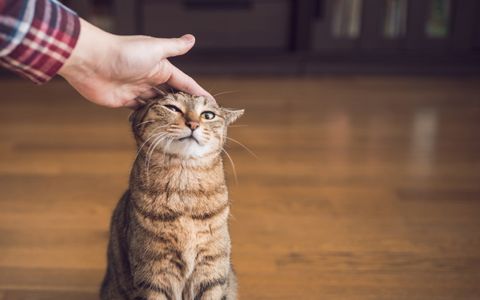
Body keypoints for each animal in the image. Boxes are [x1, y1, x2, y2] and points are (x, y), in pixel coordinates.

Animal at [101, 92, 244, 300]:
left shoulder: (212, 269)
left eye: (208, 115)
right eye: (172, 108)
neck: (184, 191)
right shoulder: (154, 273)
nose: (193, 124)